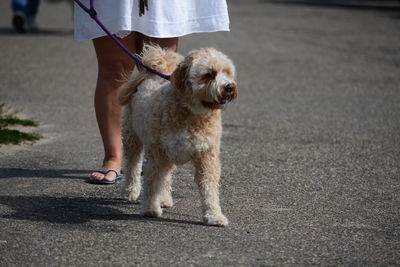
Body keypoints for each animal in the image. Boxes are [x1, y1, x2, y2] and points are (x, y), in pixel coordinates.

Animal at [118, 44, 238, 228]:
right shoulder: (158, 153)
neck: (192, 113)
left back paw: (164, 198)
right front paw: (150, 209)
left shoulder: (206, 157)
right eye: (209, 74)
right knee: (133, 165)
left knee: (165, 177)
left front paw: (214, 215)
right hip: (133, 138)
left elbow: (209, 188)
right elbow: (152, 181)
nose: (229, 87)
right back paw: (131, 191)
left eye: (227, 72)